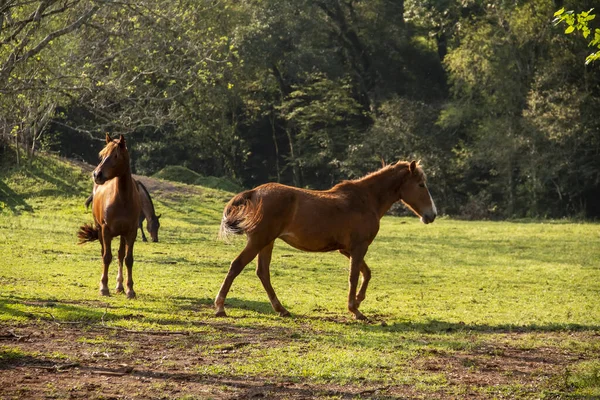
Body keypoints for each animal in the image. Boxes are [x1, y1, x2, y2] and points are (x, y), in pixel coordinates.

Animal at [77, 134, 142, 296]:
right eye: (102, 155)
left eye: (116, 155)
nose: (97, 174)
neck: (123, 199)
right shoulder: (106, 230)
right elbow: (106, 257)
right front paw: (104, 288)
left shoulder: (131, 232)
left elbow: (128, 259)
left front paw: (130, 289)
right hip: (101, 230)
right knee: (104, 253)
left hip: (122, 234)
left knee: (120, 255)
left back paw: (119, 286)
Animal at [216, 161, 436, 320]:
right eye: (421, 185)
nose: (431, 215)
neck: (365, 200)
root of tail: (254, 193)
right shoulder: (358, 248)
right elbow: (354, 276)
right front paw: (355, 310)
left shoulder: (347, 249)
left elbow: (366, 273)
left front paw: (358, 301)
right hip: (259, 240)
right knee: (237, 266)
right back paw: (220, 307)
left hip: (266, 242)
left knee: (263, 273)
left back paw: (282, 309)